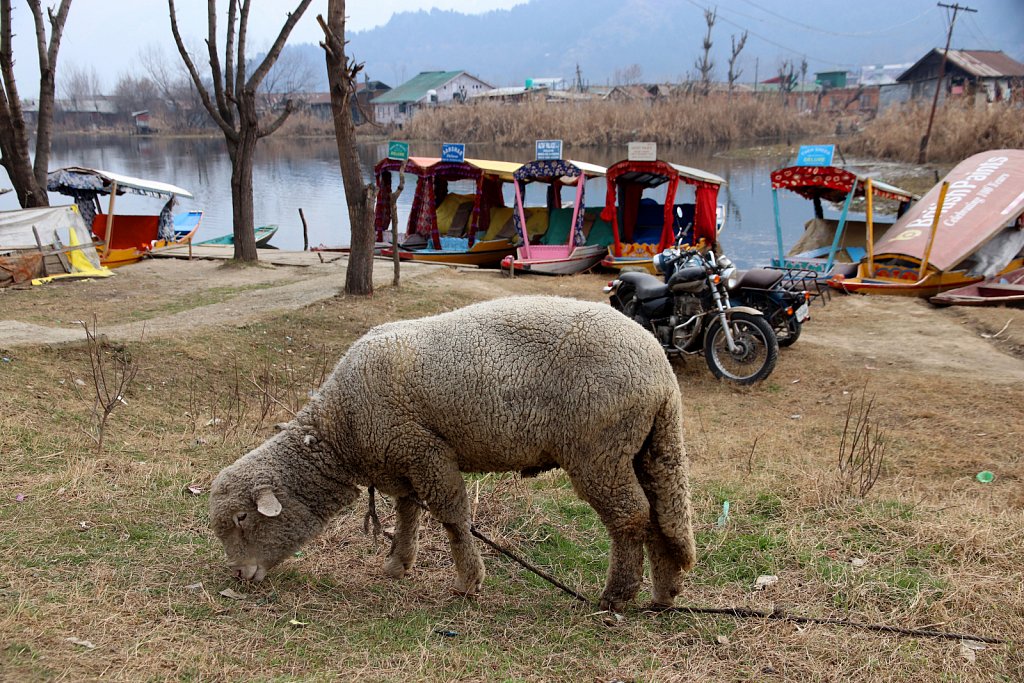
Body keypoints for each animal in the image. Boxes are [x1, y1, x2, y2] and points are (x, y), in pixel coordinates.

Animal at [207, 296, 696, 610]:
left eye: (242, 518)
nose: (239, 576)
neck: (341, 428)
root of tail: (660, 369)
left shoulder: (425, 450)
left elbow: (452, 517)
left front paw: (467, 582)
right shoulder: (400, 459)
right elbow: (407, 512)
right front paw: (397, 564)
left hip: (599, 450)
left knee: (631, 518)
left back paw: (616, 597)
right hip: (645, 448)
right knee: (662, 517)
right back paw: (664, 593)